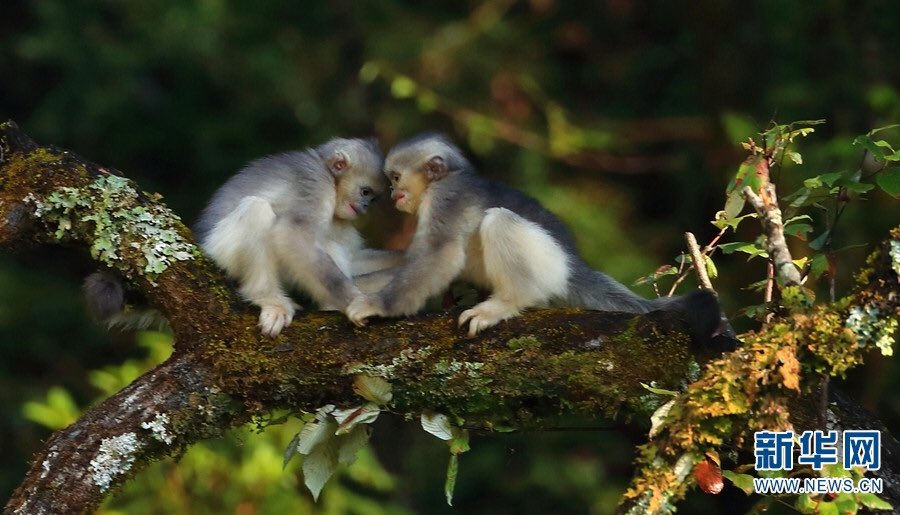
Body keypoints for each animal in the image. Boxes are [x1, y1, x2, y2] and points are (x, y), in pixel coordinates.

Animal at [347, 133, 721, 341]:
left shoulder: (447, 198)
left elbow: (440, 254)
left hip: (548, 265)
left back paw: (507, 302)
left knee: (499, 221)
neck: (442, 181)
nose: (393, 194)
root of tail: (574, 267)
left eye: (396, 178)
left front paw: (377, 306)